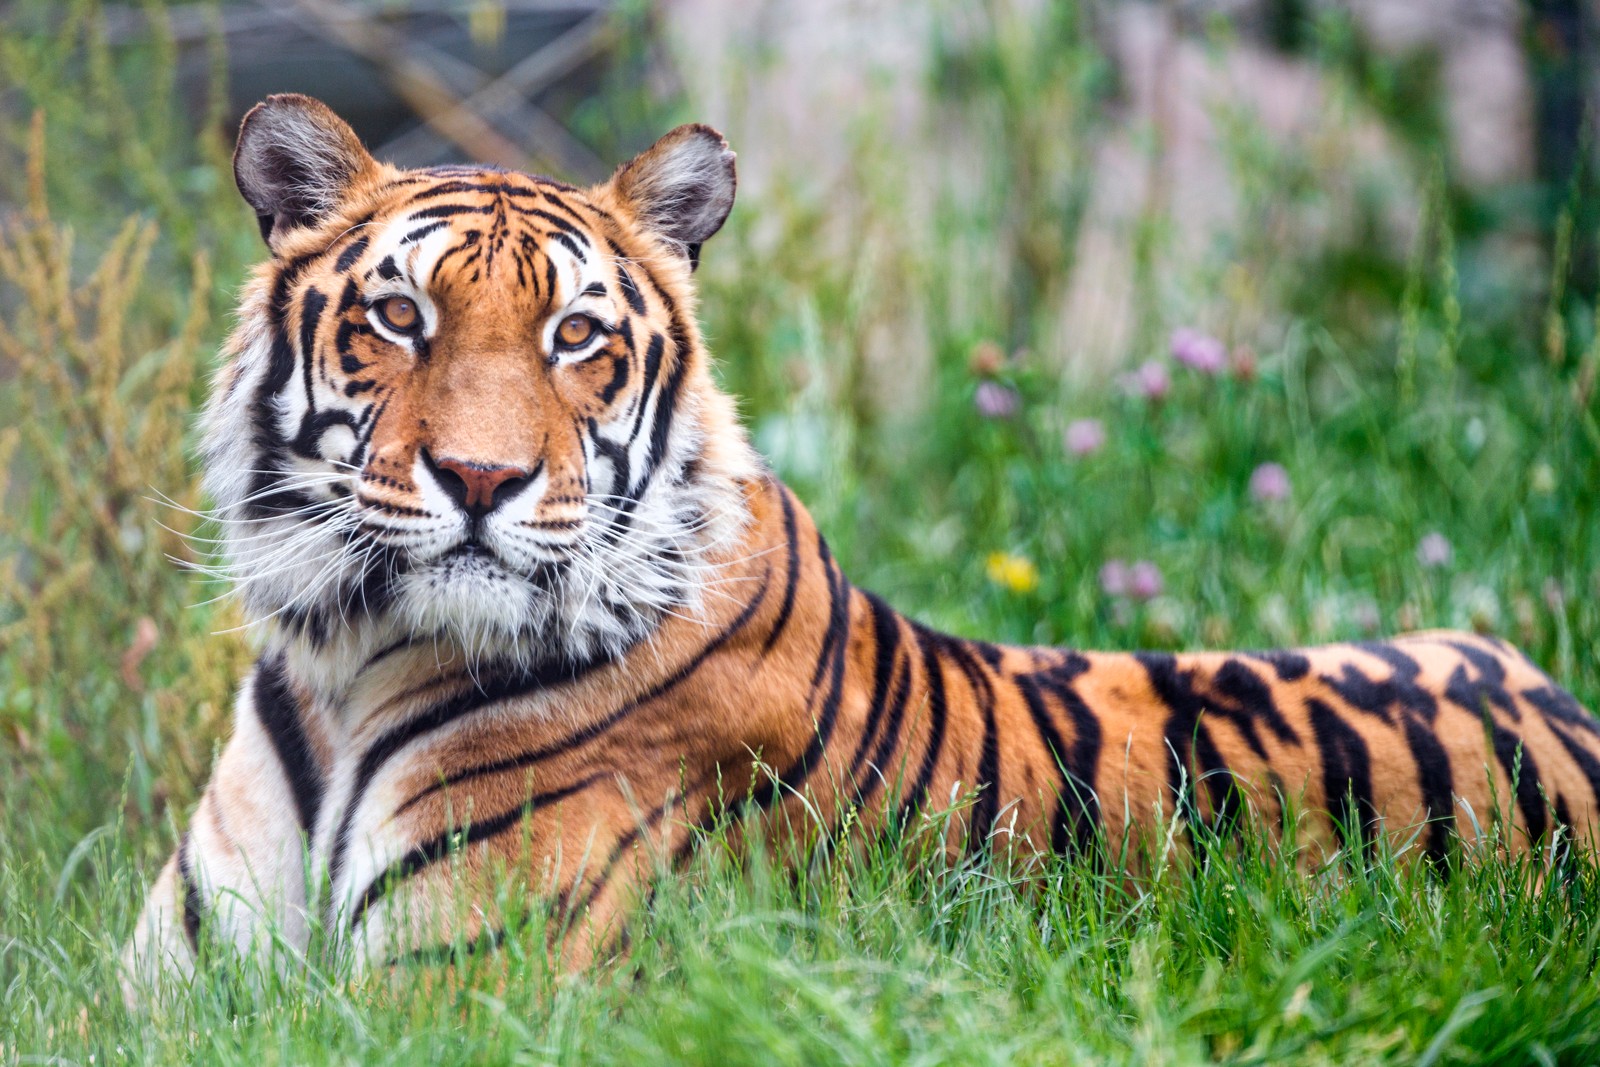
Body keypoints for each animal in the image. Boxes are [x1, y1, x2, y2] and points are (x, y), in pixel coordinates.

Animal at [121, 95, 1600, 998]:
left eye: (575, 335)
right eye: (400, 317)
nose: (481, 477)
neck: (351, 656)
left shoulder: (456, 992)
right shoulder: (164, 995)